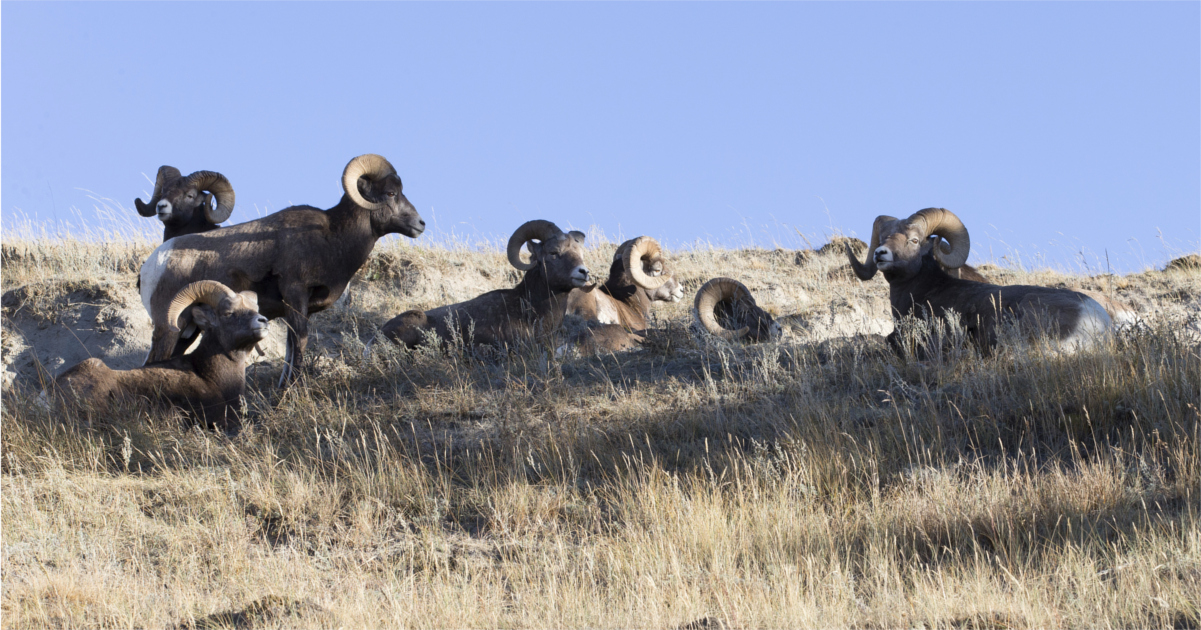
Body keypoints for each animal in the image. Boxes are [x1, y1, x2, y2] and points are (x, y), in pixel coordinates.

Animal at [140, 154, 425, 384]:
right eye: (391, 194)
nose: (420, 224)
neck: (332, 238)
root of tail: (153, 265)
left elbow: (290, 351)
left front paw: (284, 388)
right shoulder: (295, 296)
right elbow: (300, 344)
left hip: (188, 331)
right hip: (170, 328)